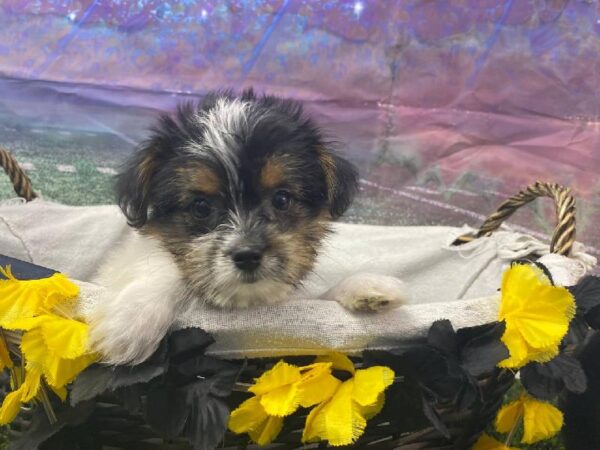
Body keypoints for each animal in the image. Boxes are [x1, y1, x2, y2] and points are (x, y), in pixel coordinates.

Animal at [89, 89, 408, 366]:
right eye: (200, 207)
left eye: (281, 199)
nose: (248, 255)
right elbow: (167, 265)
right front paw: (131, 321)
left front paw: (368, 288)